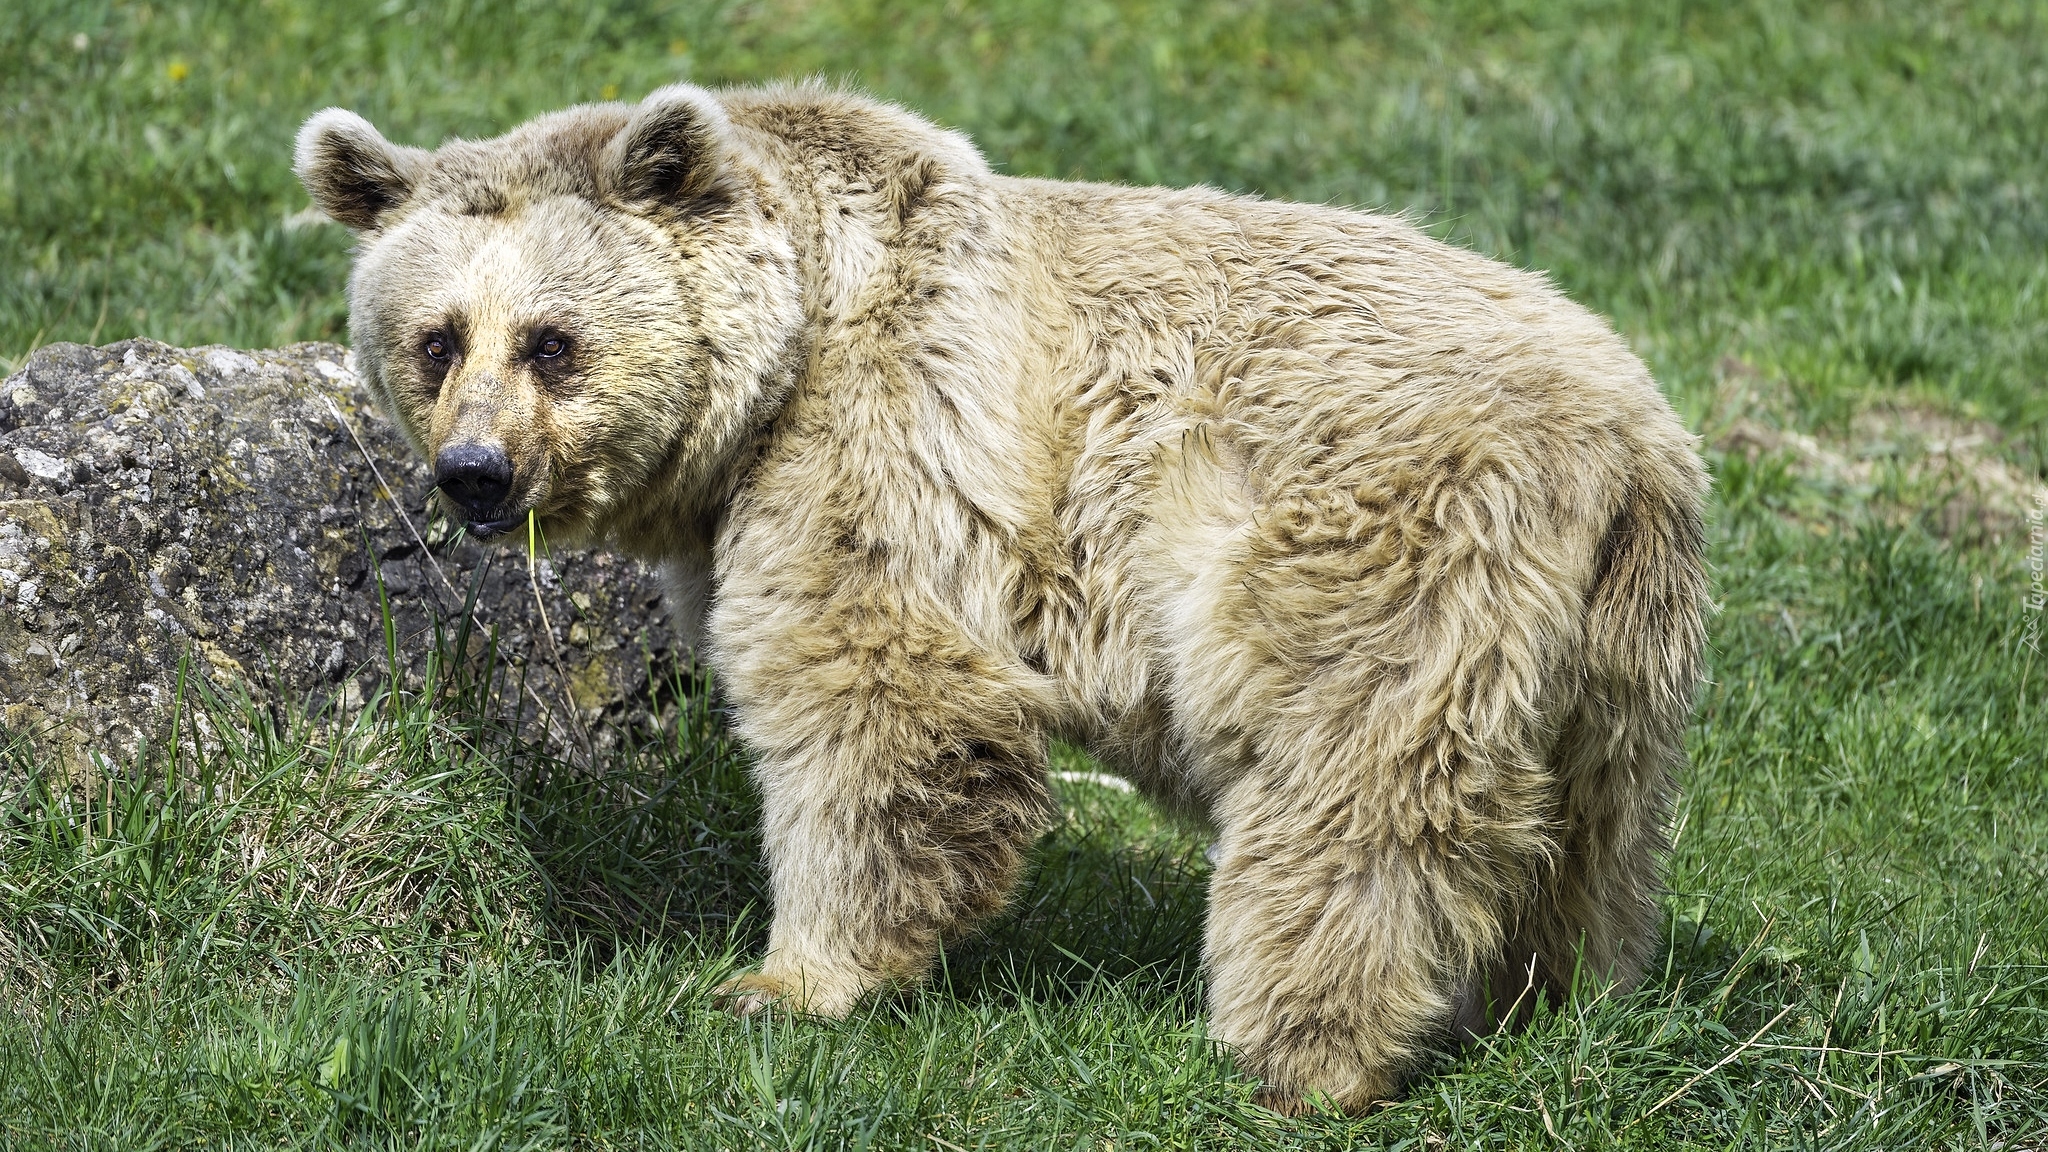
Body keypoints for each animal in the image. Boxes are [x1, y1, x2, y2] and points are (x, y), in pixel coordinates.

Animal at [296, 83, 1712, 1115]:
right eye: (433, 339)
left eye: (552, 342)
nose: (475, 473)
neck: (776, 356)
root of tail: (1621, 436)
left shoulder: (881, 440)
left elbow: (872, 699)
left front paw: (783, 981)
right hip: (1614, 642)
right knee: (1589, 831)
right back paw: (1553, 1003)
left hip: (1368, 540)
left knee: (1349, 788)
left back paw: (1298, 1057)